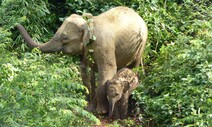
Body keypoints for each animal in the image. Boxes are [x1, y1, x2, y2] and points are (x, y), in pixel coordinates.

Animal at [16, 6, 147, 113]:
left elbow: (107, 70)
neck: (88, 23)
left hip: (142, 43)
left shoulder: (104, 45)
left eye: (64, 38)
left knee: (133, 66)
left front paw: (100, 112)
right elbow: (84, 72)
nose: (16, 24)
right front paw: (87, 107)